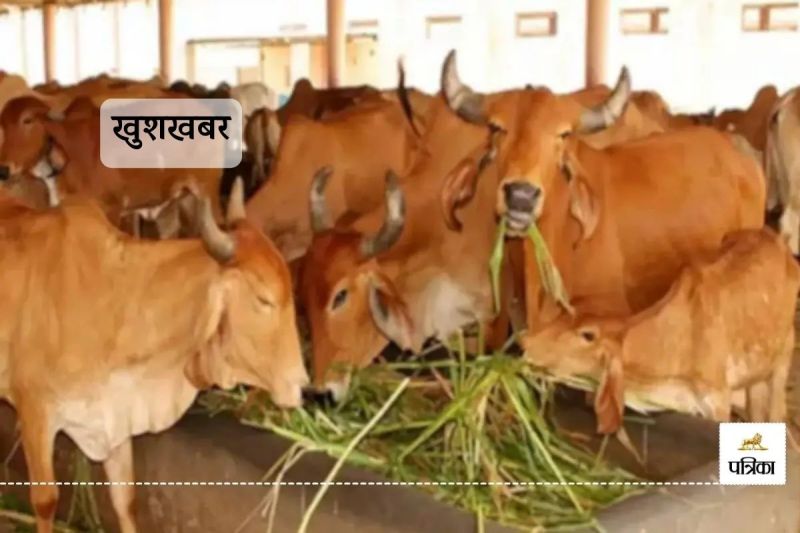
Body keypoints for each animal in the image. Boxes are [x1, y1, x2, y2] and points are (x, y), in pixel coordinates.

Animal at [0, 181, 308, 533]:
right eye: (264, 299)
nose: (301, 384)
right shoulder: (35, 412)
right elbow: (46, 501)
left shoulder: (115, 418)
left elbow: (126, 501)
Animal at [523, 228, 797, 434]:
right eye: (563, 314)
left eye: (588, 335)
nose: (526, 342)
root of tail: (776, 240)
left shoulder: (717, 400)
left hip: (783, 356)